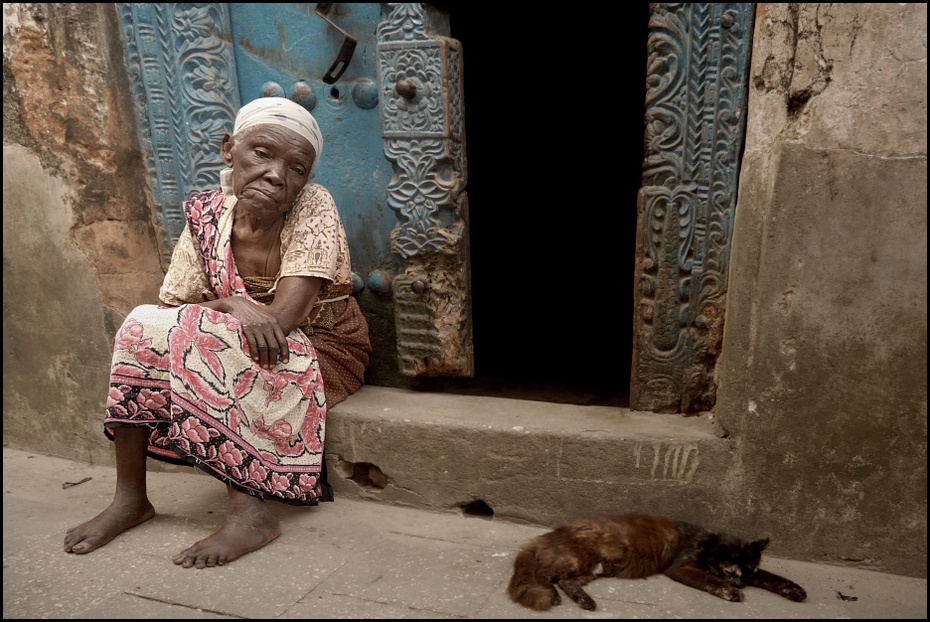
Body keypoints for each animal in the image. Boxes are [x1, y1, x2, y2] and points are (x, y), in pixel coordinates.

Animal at [508, 516, 804, 612]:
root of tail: (542, 537)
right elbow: (710, 580)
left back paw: (586, 601)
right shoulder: (682, 568)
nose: (741, 582)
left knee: (566, 582)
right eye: (730, 569)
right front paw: (730, 591)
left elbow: (772, 577)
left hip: (593, 568)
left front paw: (796, 590)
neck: (706, 543)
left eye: (748, 570)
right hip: (579, 560)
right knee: (544, 575)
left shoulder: (757, 574)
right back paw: (554, 597)